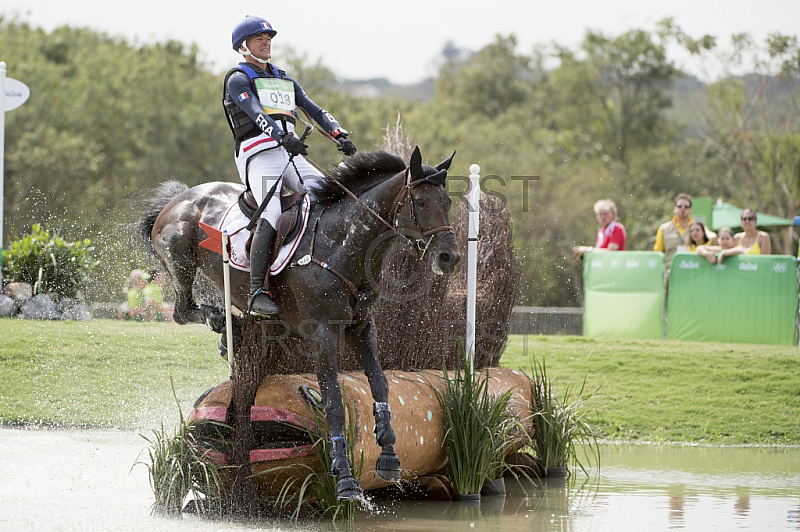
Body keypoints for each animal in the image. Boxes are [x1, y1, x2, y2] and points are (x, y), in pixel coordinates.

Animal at [138, 148, 462, 500]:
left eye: (447, 202)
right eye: (420, 202)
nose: (450, 257)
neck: (342, 244)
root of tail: (180, 196)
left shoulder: (362, 328)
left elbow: (380, 384)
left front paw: (389, 456)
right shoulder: (323, 332)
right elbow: (332, 400)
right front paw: (345, 478)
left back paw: (229, 334)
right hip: (180, 259)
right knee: (183, 310)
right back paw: (227, 326)